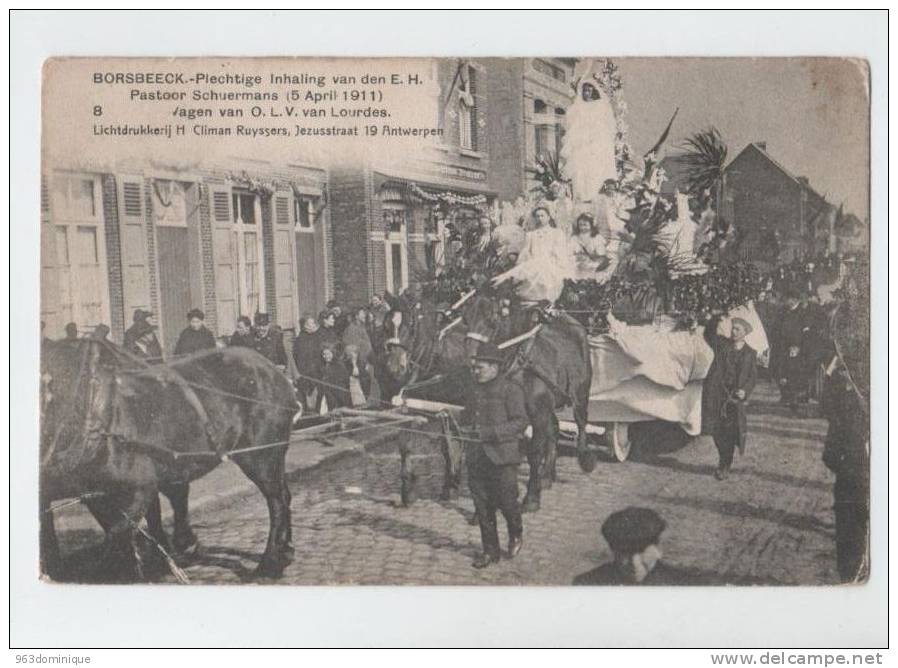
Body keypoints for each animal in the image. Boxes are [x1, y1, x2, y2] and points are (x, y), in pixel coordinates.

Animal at [40, 340, 296, 580]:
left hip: (261, 456)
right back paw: (286, 551)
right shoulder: (97, 497)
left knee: (276, 501)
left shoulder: (140, 489)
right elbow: (129, 531)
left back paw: (270, 563)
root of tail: (273, 370)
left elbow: (119, 536)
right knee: (284, 494)